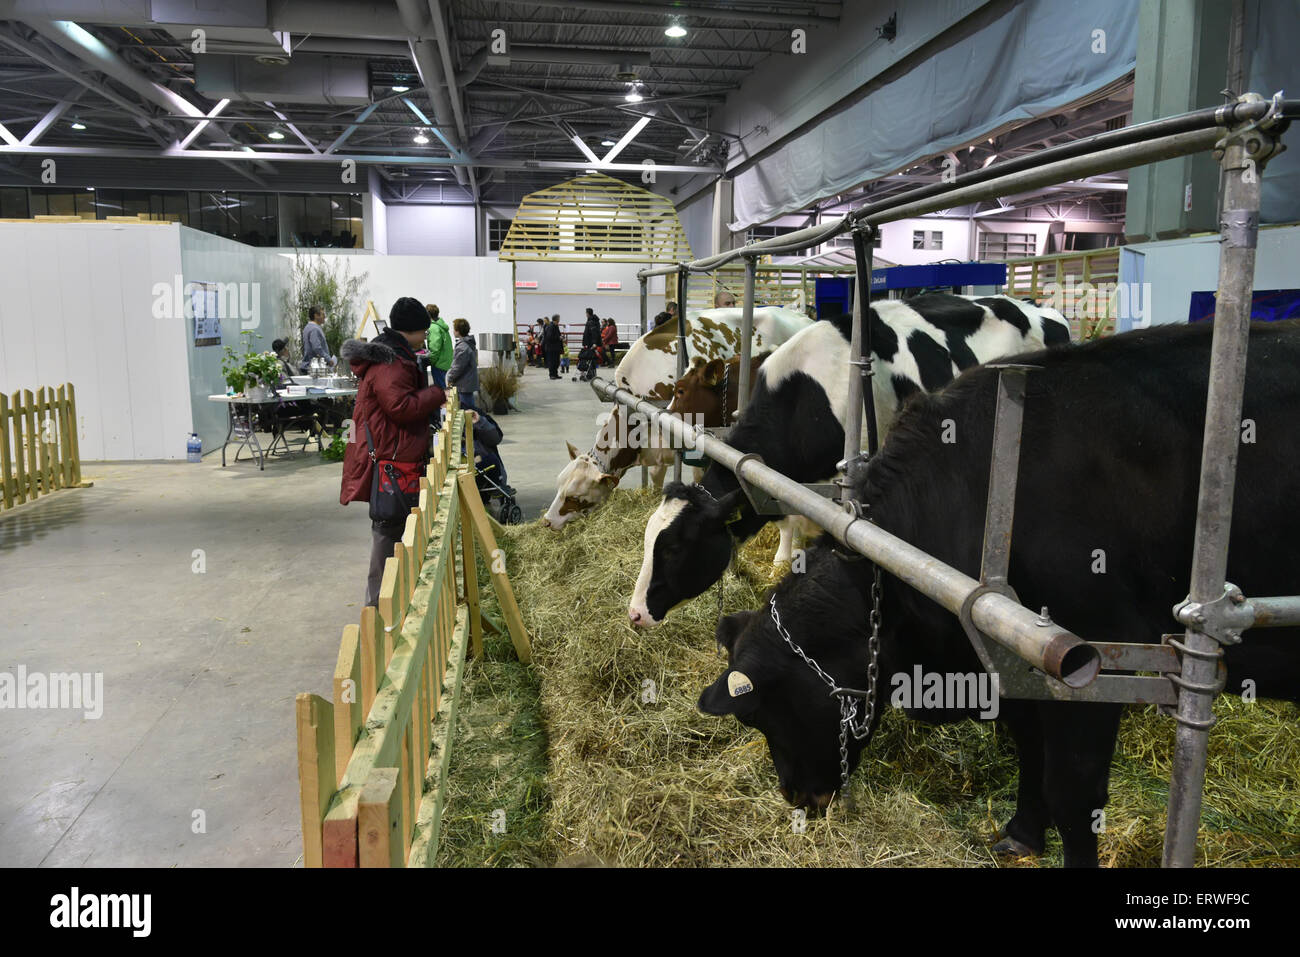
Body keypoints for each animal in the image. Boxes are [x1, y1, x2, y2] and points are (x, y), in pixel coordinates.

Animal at [626, 293, 1066, 629]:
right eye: (646, 540)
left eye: (673, 549)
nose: (634, 614)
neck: (806, 395)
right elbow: (789, 519)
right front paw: (785, 562)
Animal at [702, 321, 1300, 868]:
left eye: (766, 714)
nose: (796, 797)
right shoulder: (1012, 662)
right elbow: (1032, 754)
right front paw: (1022, 834)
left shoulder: (1093, 664)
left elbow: (1074, 795)